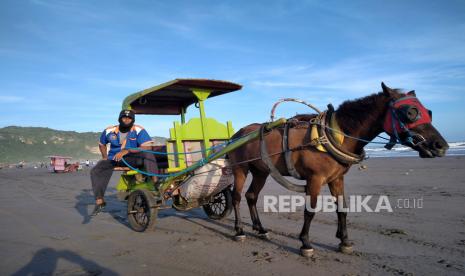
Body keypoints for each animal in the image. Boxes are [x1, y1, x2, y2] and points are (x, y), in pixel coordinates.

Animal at [227, 82, 448, 256]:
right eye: (410, 113)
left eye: (428, 112)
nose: (441, 146)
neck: (333, 135)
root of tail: (238, 133)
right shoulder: (314, 179)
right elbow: (310, 211)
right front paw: (305, 242)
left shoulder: (337, 179)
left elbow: (342, 208)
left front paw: (344, 241)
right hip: (240, 169)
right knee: (236, 197)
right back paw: (239, 230)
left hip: (262, 171)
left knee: (251, 196)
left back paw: (260, 228)